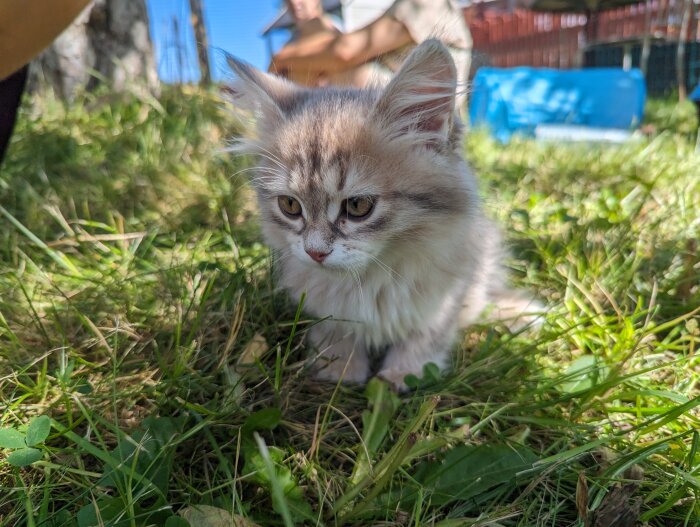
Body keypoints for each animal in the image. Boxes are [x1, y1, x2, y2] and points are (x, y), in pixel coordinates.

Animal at [227, 39, 540, 392]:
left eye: (358, 206)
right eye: (290, 206)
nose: (315, 252)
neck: (368, 279)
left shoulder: (446, 295)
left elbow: (426, 337)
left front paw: (404, 372)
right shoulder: (318, 301)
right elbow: (337, 330)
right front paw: (340, 369)